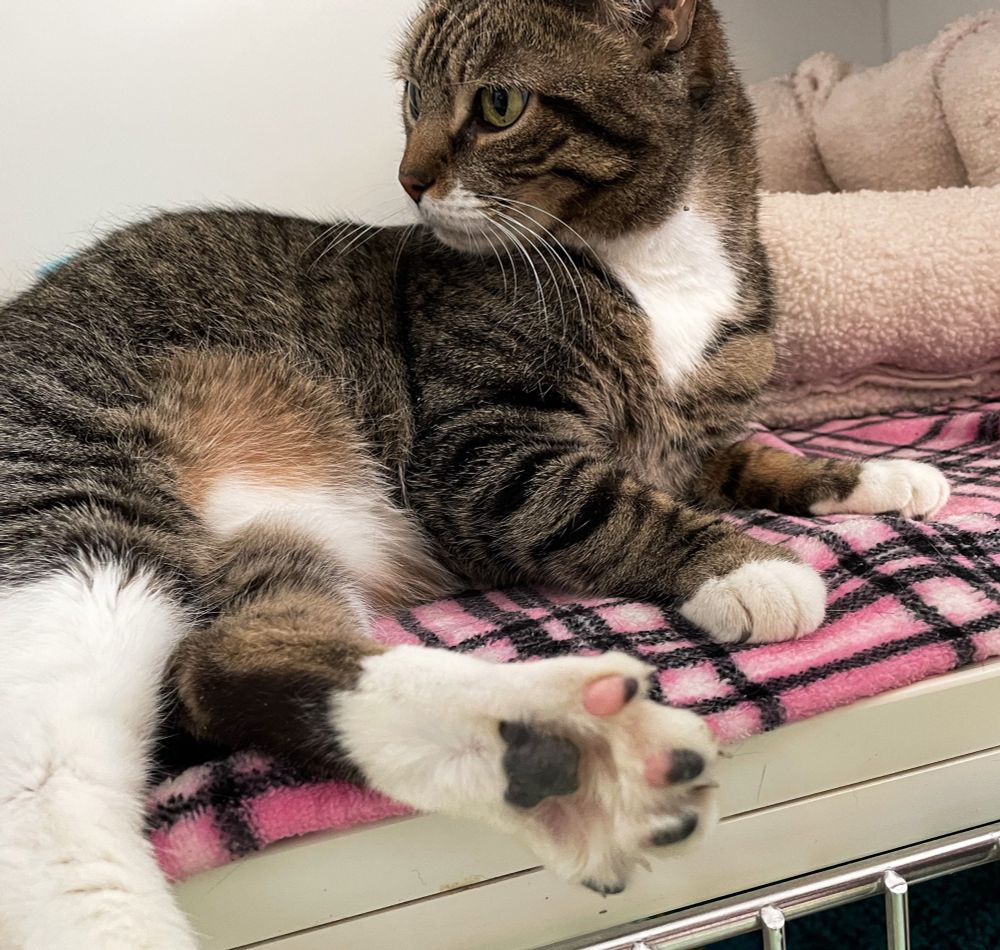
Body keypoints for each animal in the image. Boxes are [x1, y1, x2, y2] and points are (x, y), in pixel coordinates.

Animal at [0, 0, 944, 940]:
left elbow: (759, 456)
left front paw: (883, 477)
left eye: (497, 105)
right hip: (78, 489)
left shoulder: (694, 446)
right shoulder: (483, 453)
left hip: (273, 550)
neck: (660, 261)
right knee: (46, 767)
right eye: (414, 99)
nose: (410, 178)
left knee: (226, 662)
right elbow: (608, 503)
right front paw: (744, 566)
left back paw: (560, 744)